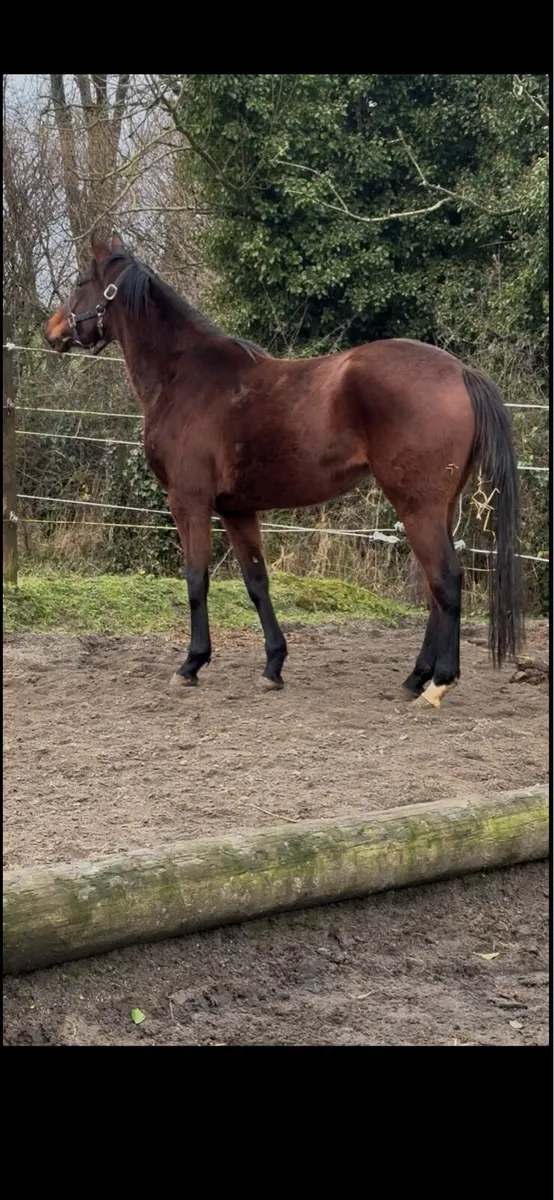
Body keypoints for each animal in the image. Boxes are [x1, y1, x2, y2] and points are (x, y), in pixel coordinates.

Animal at [45, 231, 524, 710]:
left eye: (81, 281)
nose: (52, 331)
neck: (184, 377)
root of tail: (460, 371)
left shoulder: (189, 502)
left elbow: (196, 579)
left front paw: (191, 664)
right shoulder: (236, 510)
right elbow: (257, 582)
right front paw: (273, 666)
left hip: (416, 506)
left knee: (445, 580)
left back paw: (439, 683)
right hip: (439, 507)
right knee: (433, 589)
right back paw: (415, 678)